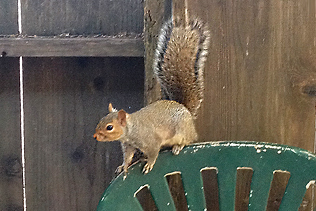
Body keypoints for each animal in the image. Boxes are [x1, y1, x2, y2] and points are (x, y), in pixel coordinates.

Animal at [94, 17, 212, 174]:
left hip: (182, 131)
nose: (95, 136)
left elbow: (154, 152)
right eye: (101, 121)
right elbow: (128, 157)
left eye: (109, 127)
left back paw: (178, 147)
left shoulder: (151, 140)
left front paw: (149, 164)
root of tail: (185, 108)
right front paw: (124, 166)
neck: (131, 129)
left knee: (188, 140)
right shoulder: (129, 146)